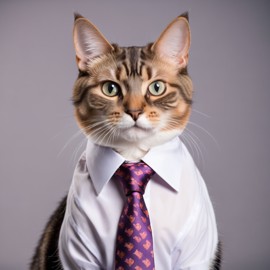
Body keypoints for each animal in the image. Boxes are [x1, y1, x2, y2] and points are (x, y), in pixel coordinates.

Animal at [31, 11, 221, 268]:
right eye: (110, 89)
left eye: (157, 87)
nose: (134, 111)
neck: (134, 159)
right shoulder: (76, 253)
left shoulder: (197, 253)